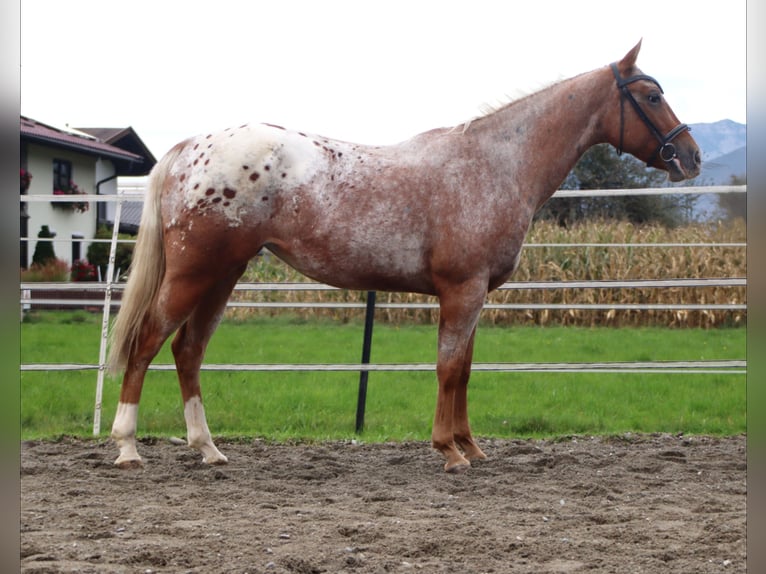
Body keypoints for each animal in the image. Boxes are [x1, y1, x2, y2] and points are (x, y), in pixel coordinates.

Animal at [106, 39, 704, 472]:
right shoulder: (461, 290)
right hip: (195, 272)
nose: (691, 156)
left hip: (224, 274)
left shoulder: (474, 295)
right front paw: (449, 451)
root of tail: (191, 148)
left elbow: (464, 370)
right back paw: (128, 447)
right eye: (651, 97)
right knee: (148, 340)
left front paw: (471, 445)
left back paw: (208, 449)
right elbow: (447, 368)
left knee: (188, 350)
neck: (494, 164)